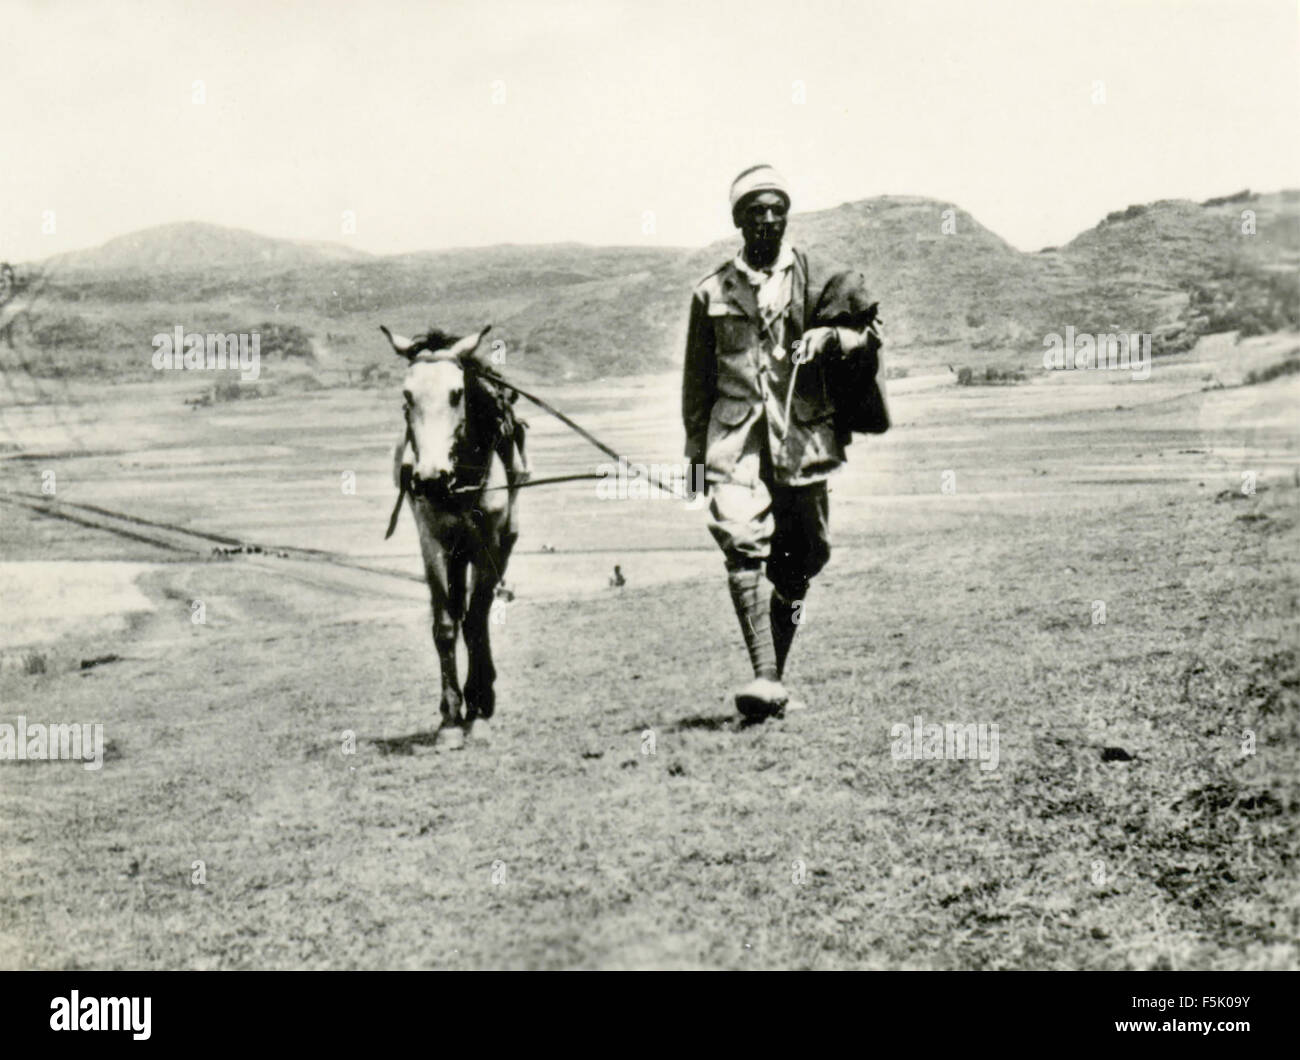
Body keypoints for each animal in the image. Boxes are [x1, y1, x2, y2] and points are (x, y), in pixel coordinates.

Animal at [379, 327, 520, 749]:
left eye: (457, 393)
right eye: (406, 395)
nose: (430, 478)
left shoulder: (489, 543)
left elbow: (475, 622)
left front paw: (478, 710)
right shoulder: (434, 543)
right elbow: (445, 626)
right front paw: (451, 719)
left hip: (499, 546)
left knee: (479, 614)